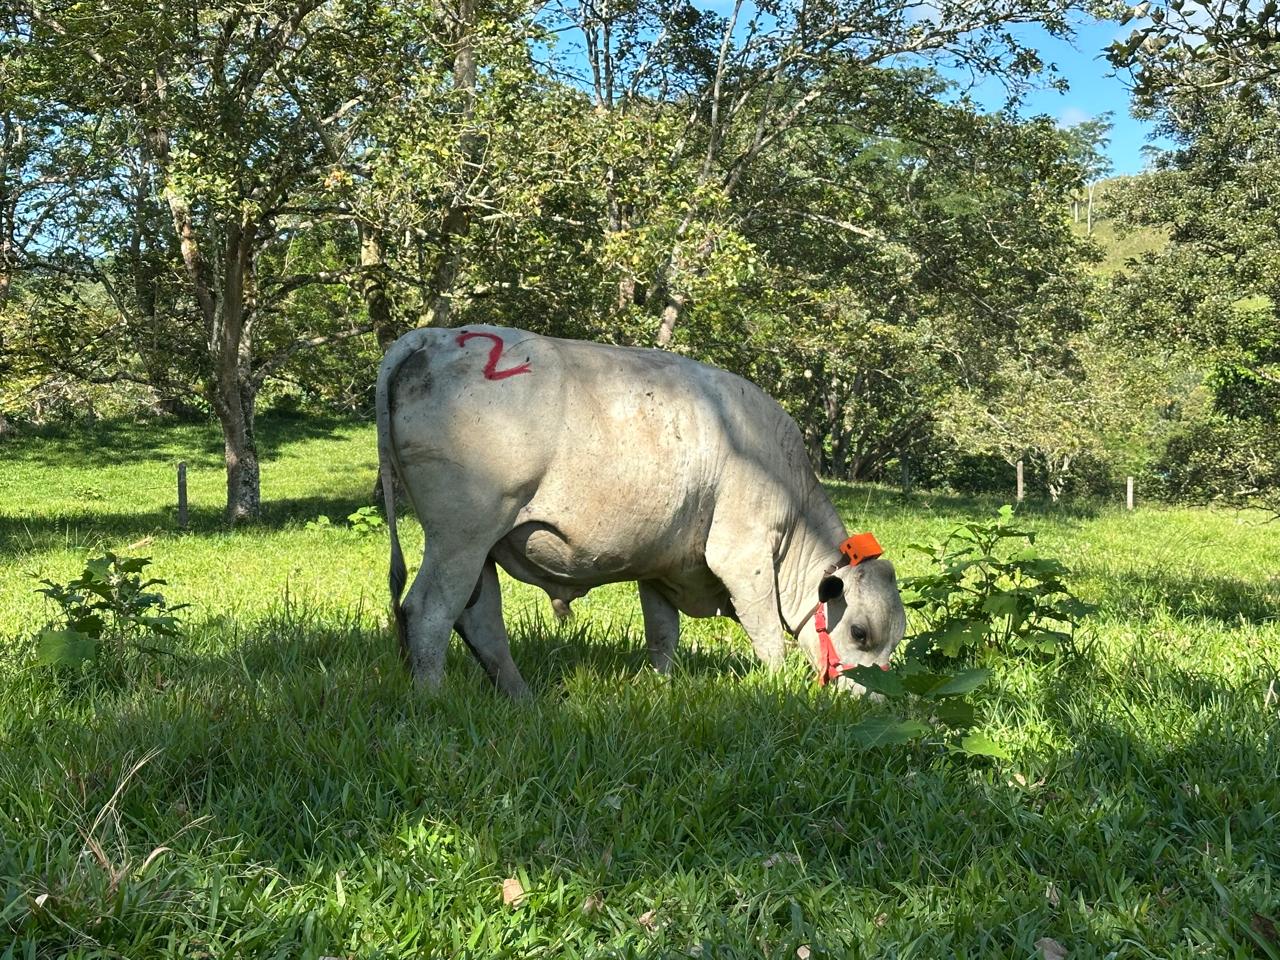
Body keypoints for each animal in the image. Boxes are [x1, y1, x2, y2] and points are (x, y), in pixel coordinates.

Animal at [375, 324, 907, 698]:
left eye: (893, 642)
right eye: (859, 632)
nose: (875, 698)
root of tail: (438, 334)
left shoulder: (660, 565)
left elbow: (662, 635)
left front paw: (659, 689)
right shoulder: (744, 554)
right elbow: (766, 633)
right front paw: (776, 691)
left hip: (481, 546)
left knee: (480, 620)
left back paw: (522, 698)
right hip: (461, 535)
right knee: (428, 610)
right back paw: (434, 698)